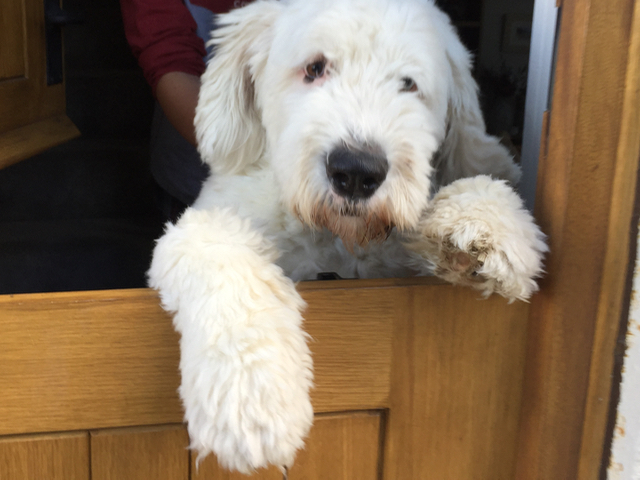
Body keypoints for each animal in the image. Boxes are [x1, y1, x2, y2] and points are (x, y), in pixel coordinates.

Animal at [149, 0, 547, 473]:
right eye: (315, 67)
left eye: (408, 83)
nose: (356, 171)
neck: (336, 240)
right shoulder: (210, 220)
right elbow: (213, 245)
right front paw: (251, 395)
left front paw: (482, 227)